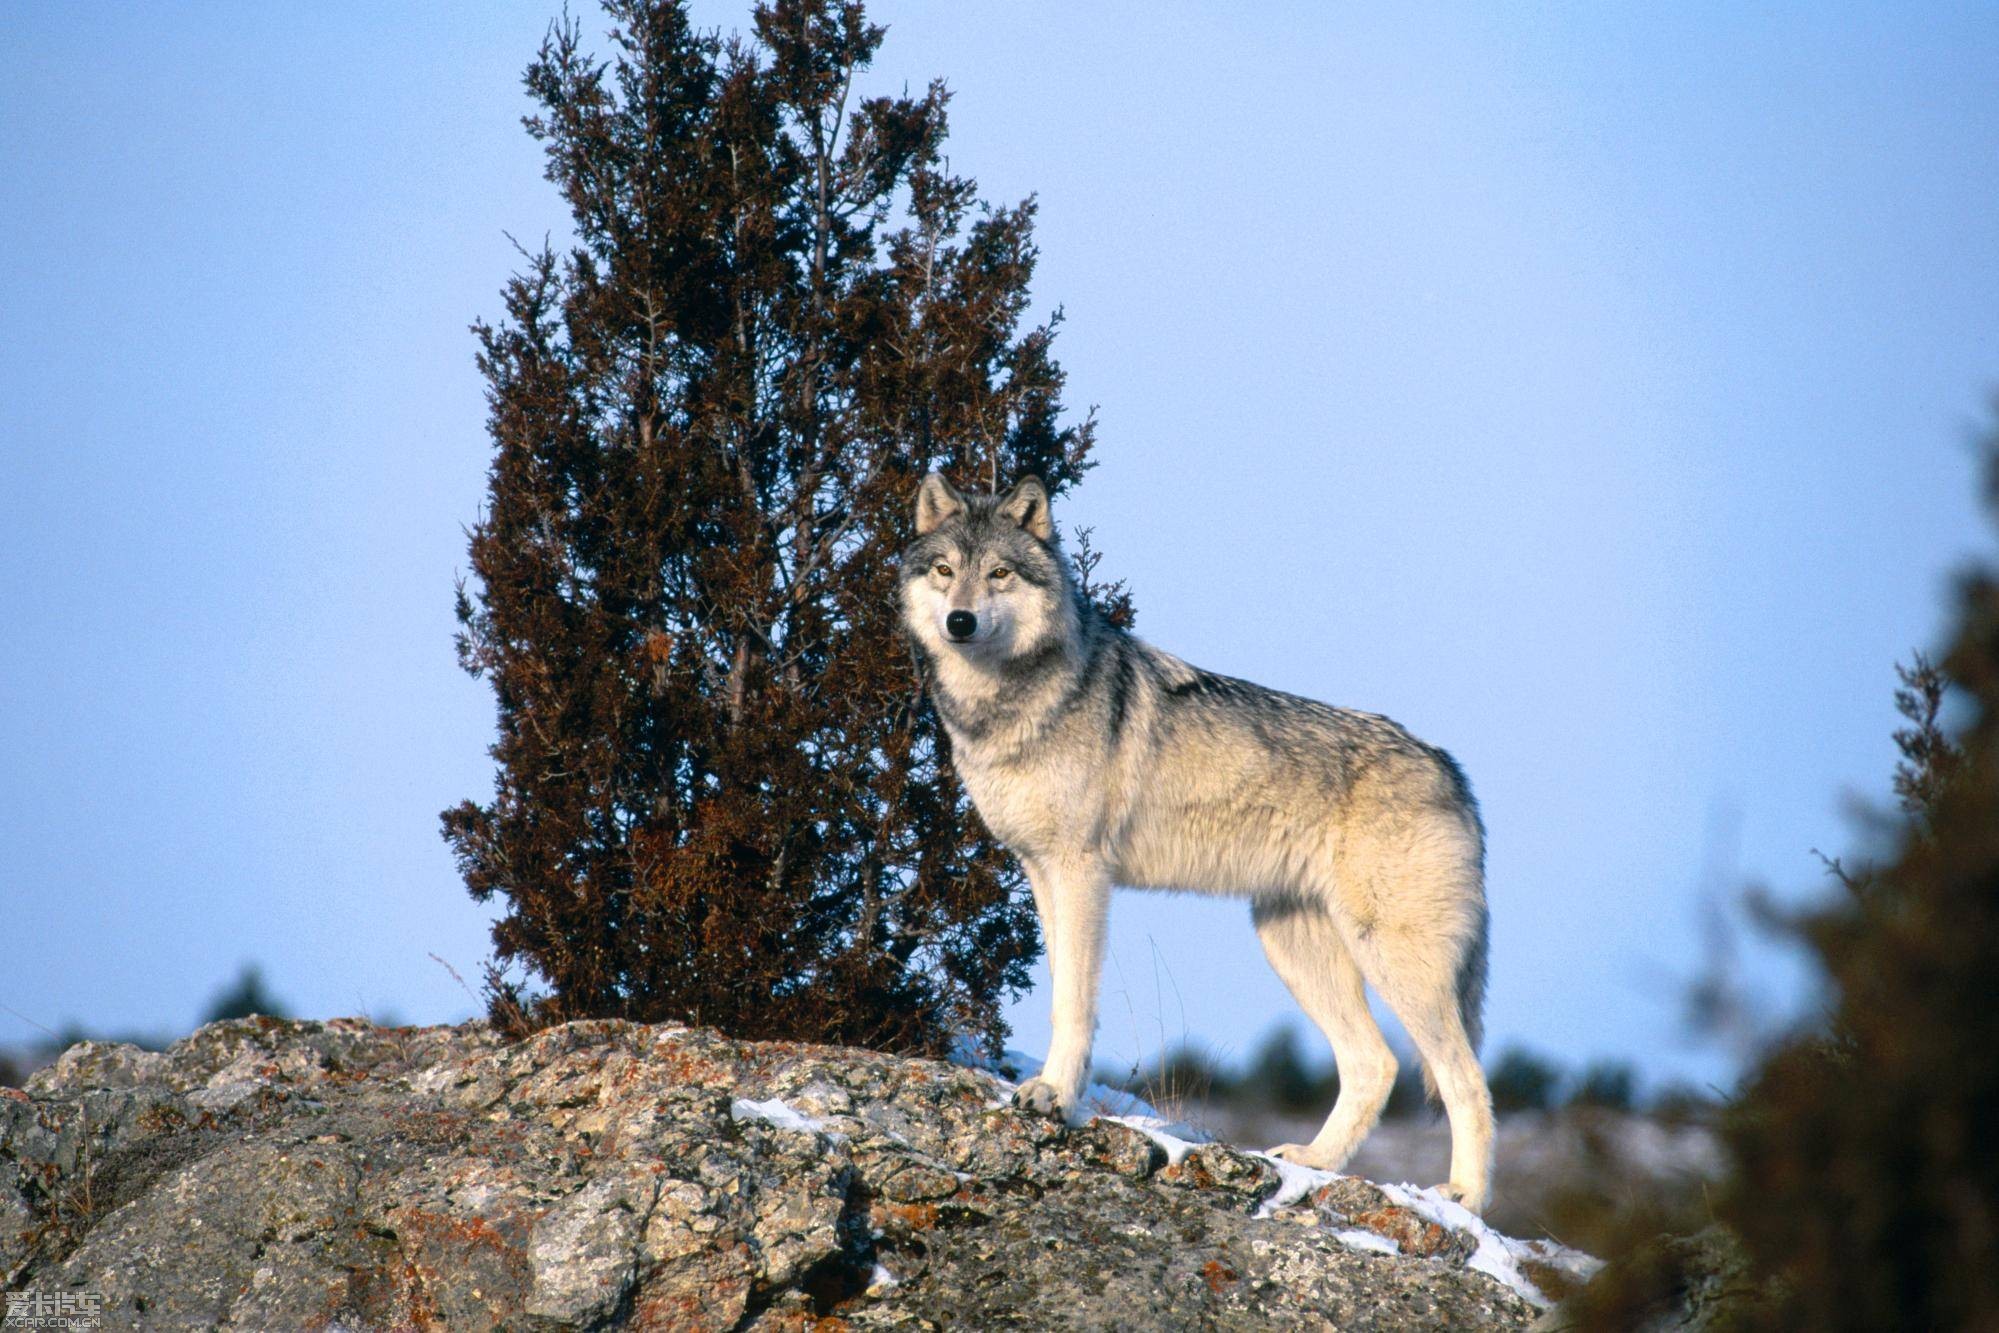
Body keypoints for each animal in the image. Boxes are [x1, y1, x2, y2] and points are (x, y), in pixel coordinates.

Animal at [899, 473, 1495, 1215]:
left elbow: (1074, 1003)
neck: (1007, 703)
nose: (959, 621)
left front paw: (1055, 1098)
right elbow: (1062, 990)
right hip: (1291, 945)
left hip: (1391, 959)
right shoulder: (1040, 871)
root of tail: (1451, 769)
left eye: (999, 574)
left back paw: (1463, 1197)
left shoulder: (1081, 872)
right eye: (945, 570)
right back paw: (1313, 1162)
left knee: (1466, 1079)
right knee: (1375, 1064)